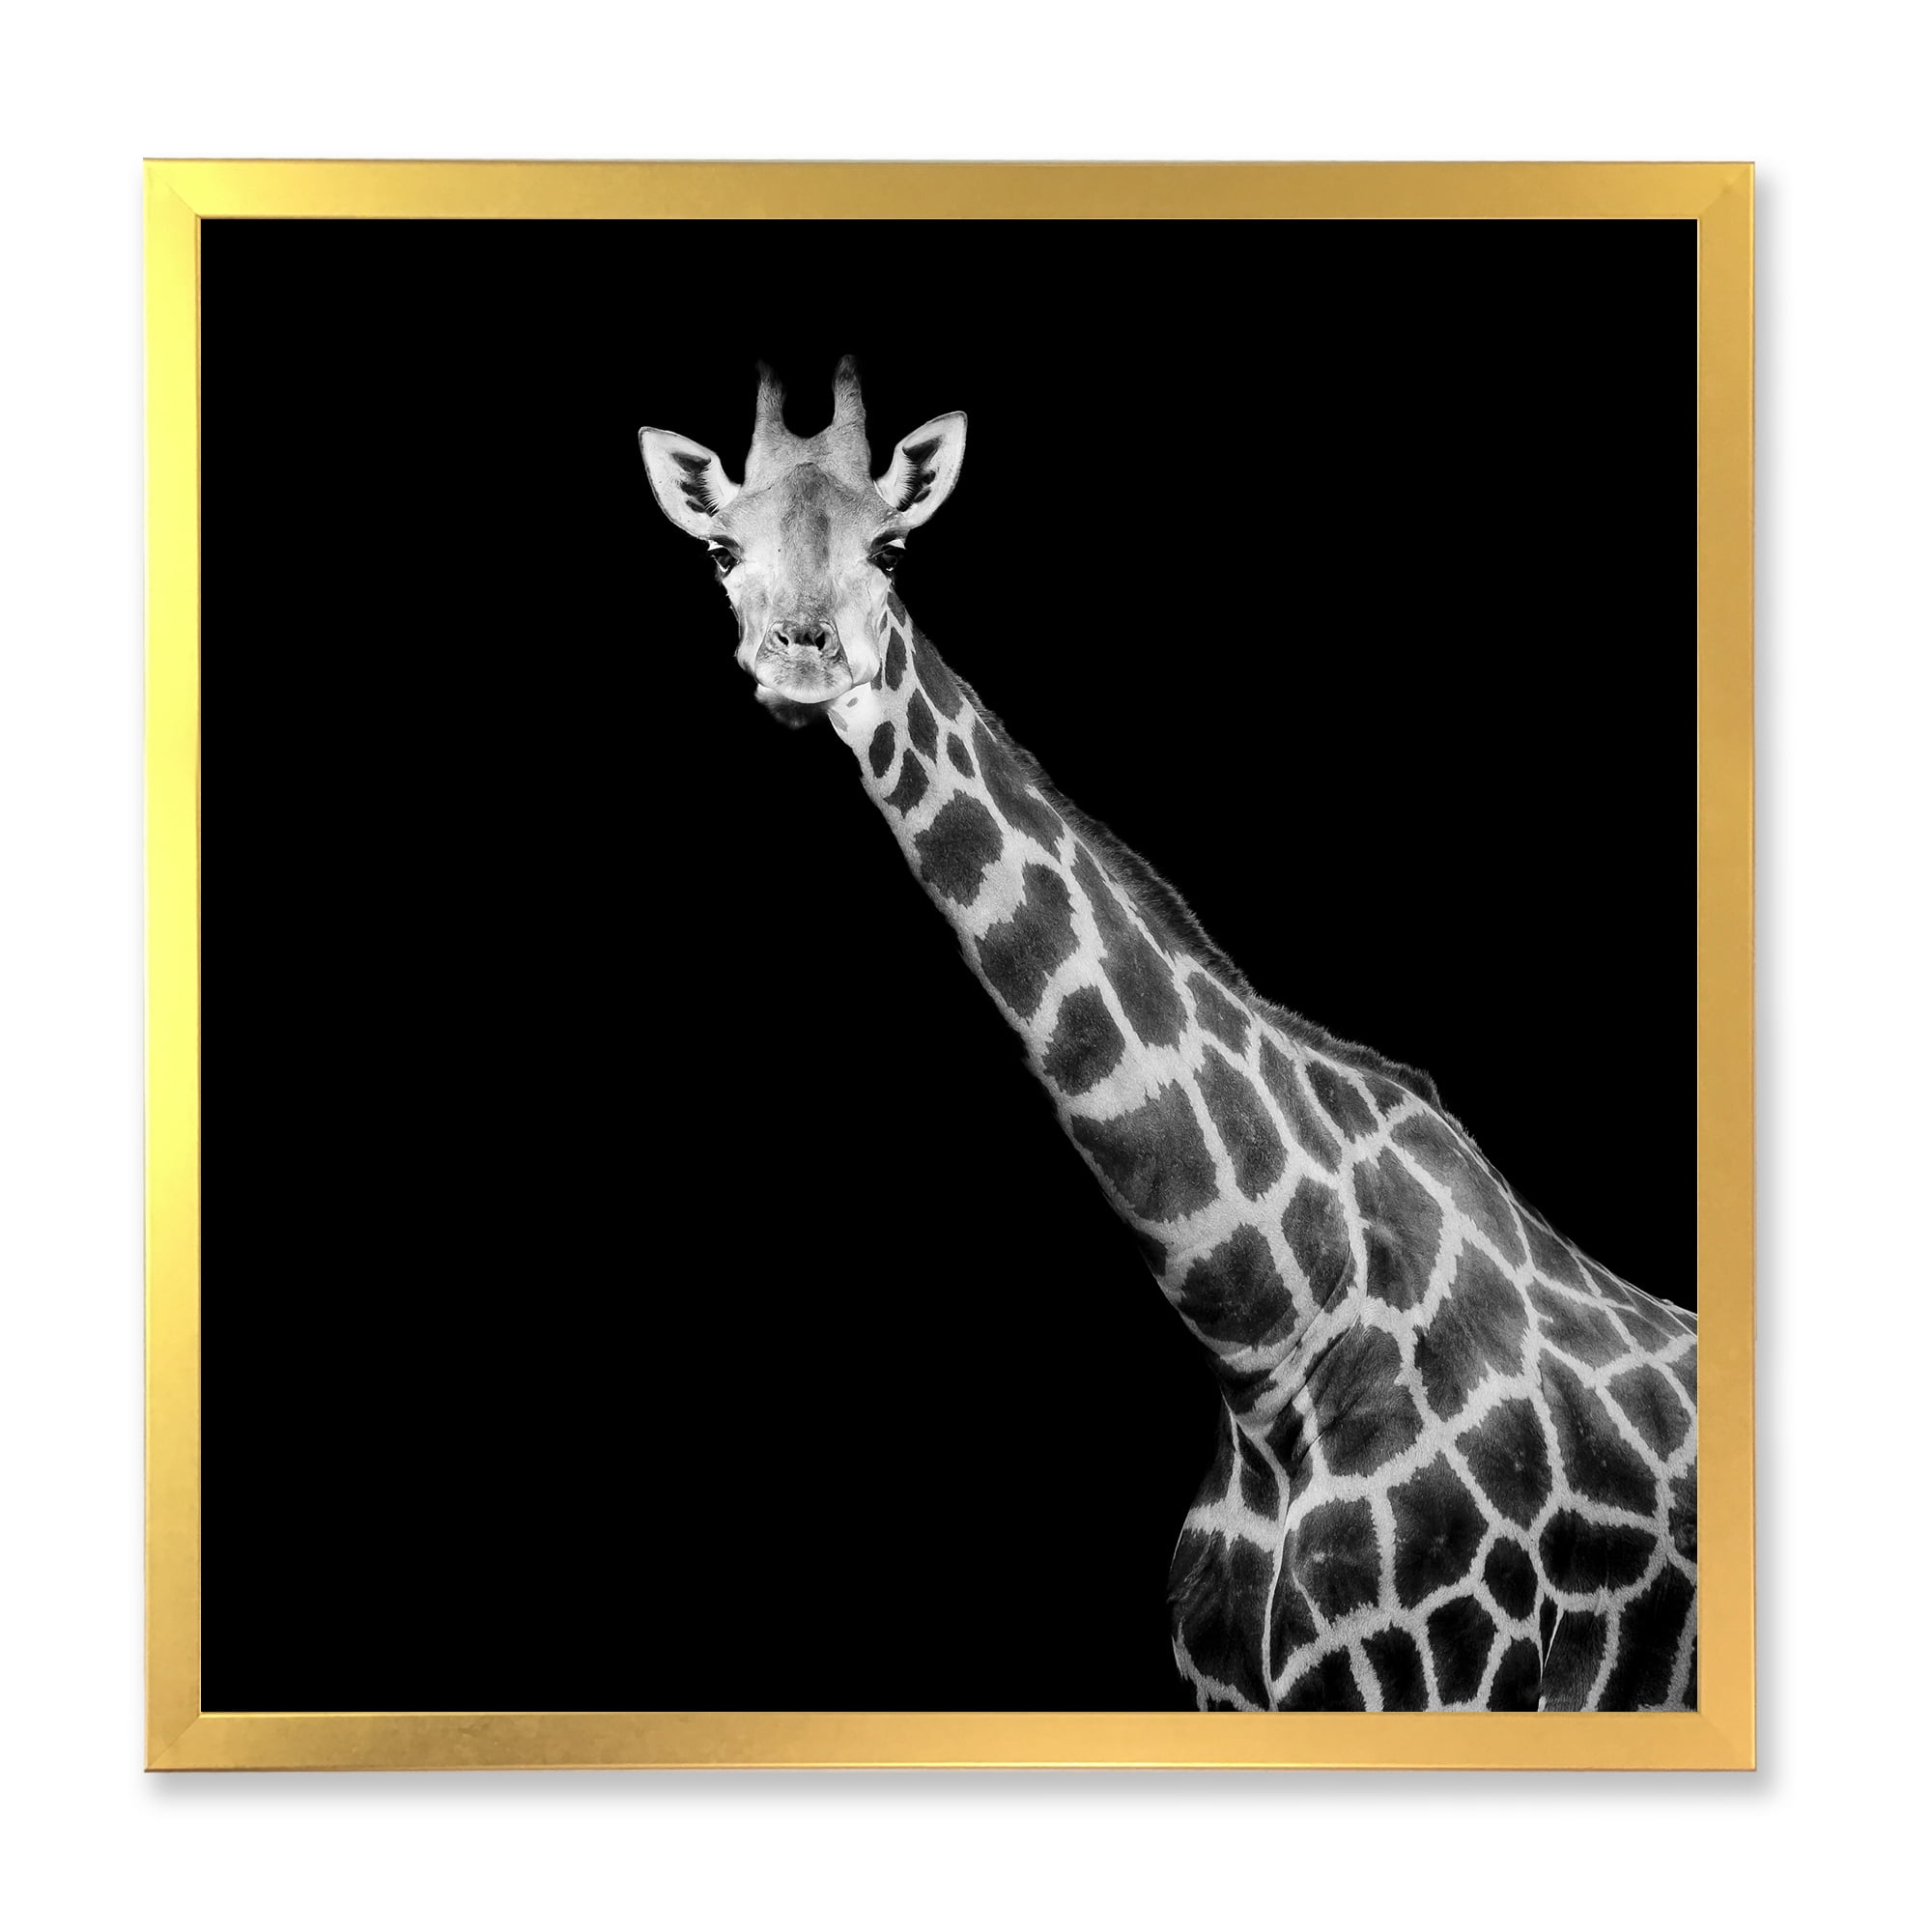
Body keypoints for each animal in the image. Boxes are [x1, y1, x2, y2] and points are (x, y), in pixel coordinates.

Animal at [638, 359, 1698, 1712]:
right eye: (723, 549)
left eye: (892, 546)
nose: (802, 659)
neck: (1269, 1341)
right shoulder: (1227, 1689)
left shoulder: (1464, 1679)